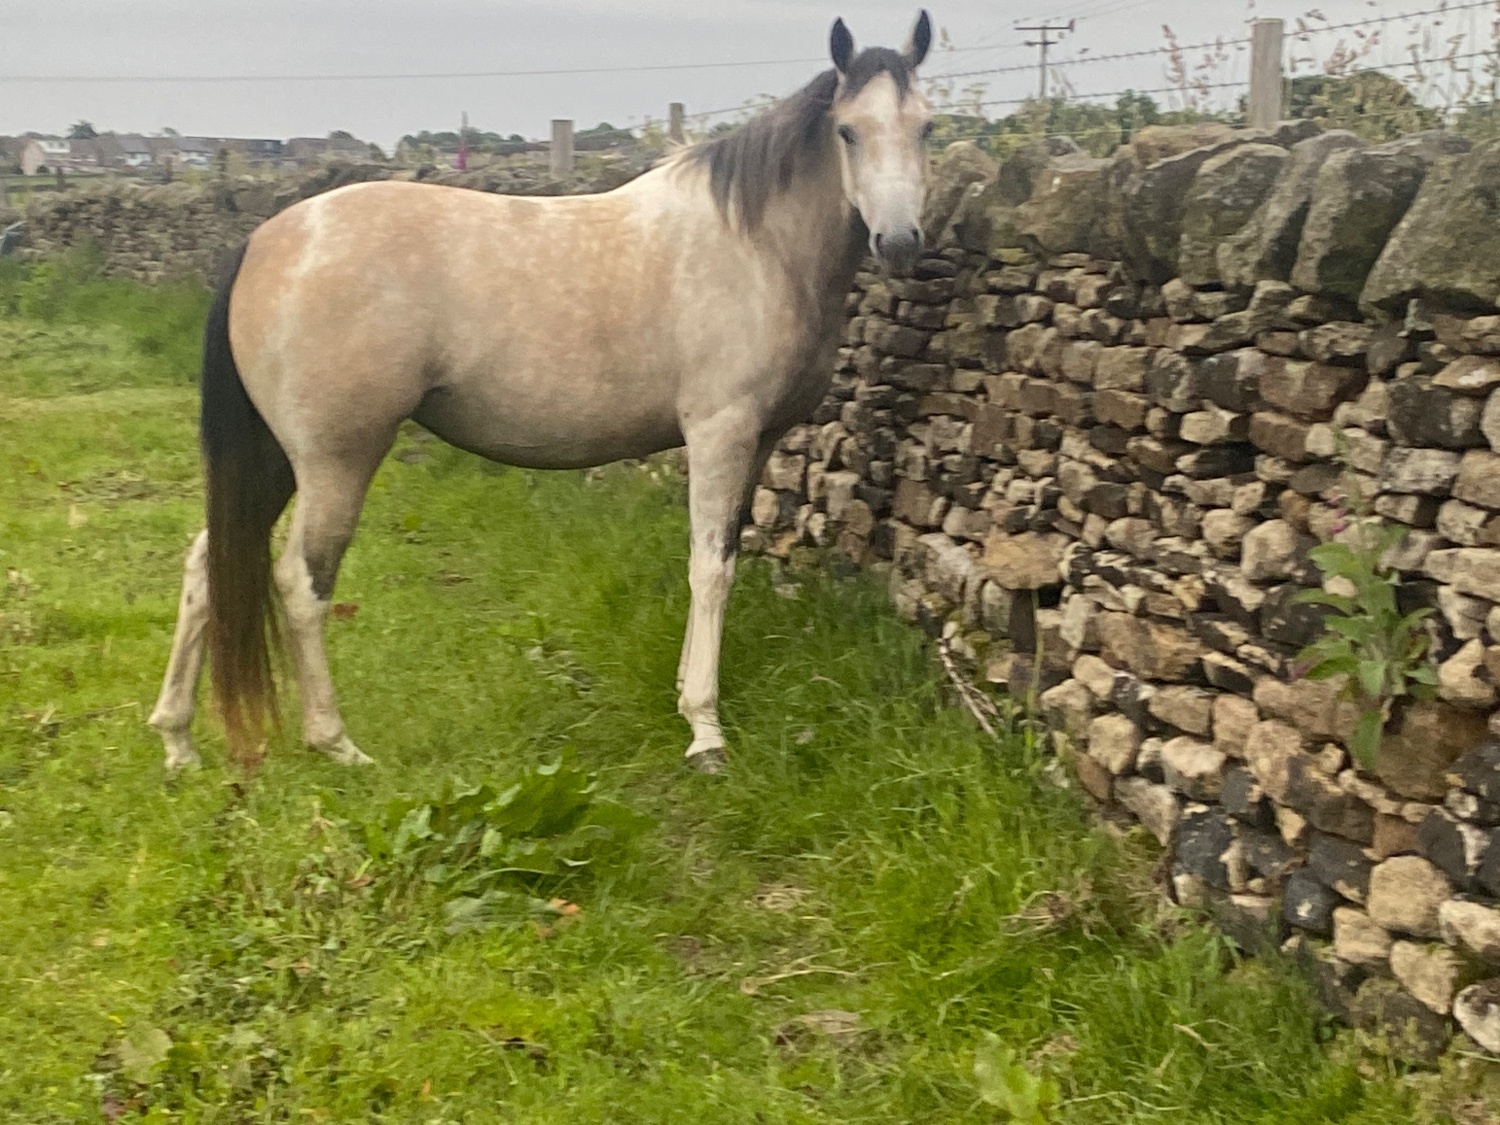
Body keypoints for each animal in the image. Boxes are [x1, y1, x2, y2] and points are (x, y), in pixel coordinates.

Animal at [147, 12, 935, 775]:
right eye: (847, 130)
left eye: (926, 127)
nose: (899, 242)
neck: (753, 243)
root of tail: (265, 241)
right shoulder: (722, 433)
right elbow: (708, 570)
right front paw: (705, 730)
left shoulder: (761, 441)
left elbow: (723, 560)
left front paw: (686, 695)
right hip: (334, 461)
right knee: (301, 582)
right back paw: (335, 742)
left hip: (277, 458)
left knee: (208, 561)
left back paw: (178, 740)